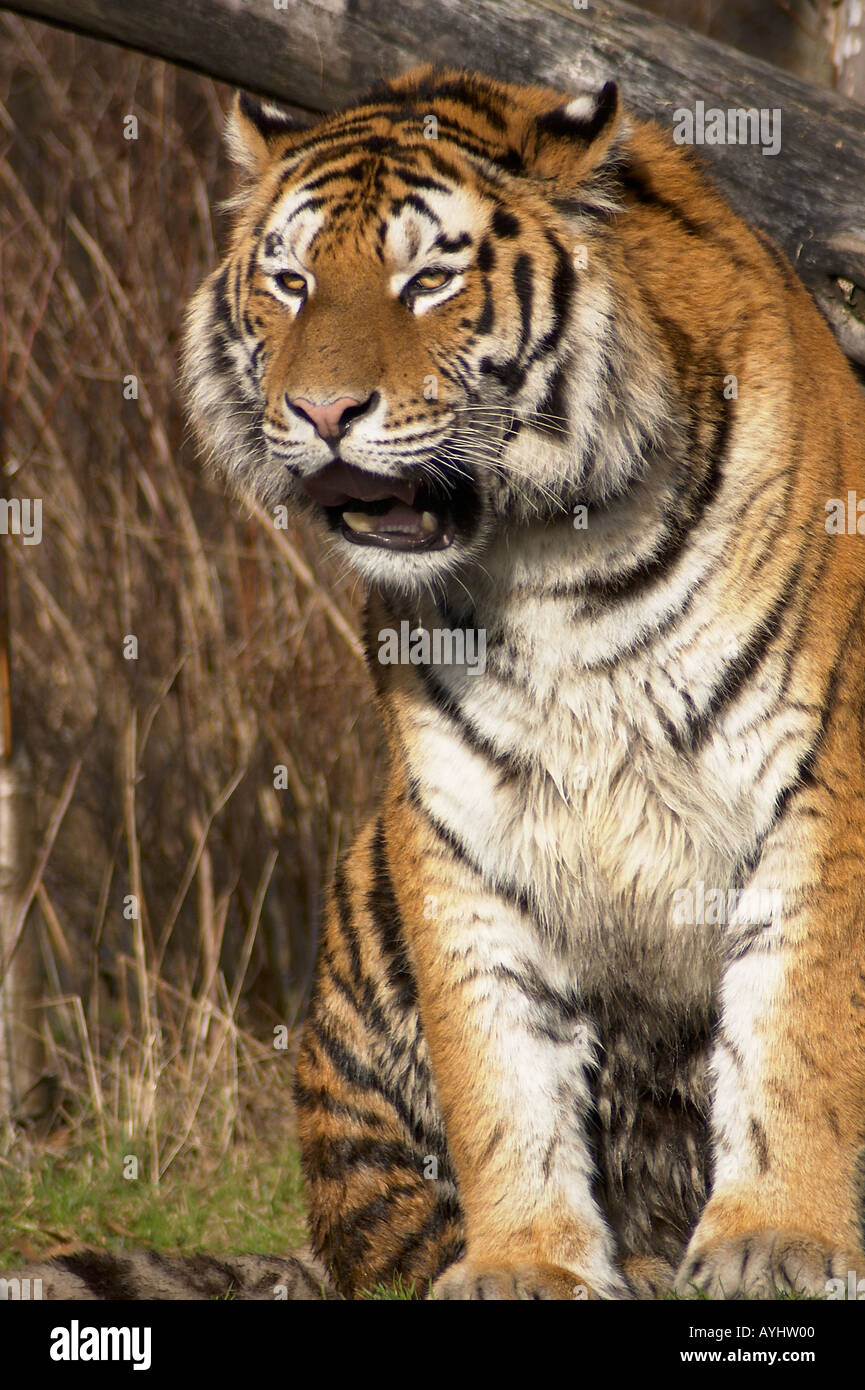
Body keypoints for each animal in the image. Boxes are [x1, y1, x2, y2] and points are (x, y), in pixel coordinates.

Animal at [11, 64, 865, 1302]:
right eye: (290, 281)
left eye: (427, 281)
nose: (323, 414)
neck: (555, 561)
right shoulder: (459, 808)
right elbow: (495, 1065)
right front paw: (525, 1260)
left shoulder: (811, 771)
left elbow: (796, 1024)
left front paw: (777, 1243)